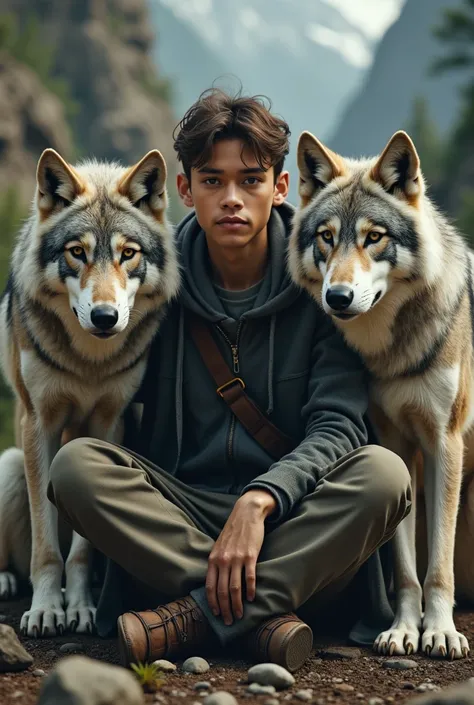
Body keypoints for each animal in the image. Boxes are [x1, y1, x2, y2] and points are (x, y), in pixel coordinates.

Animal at [0, 147, 180, 640]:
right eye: (77, 252)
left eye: (128, 254)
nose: (104, 317)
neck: (89, 363)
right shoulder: (38, 422)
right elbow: (46, 546)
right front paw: (46, 609)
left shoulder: (106, 423)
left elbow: (80, 549)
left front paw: (79, 607)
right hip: (8, 465)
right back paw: (6, 581)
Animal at [286, 128, 474, 660]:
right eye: (327, 237)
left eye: (374, 237)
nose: (338, 298)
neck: (391, 353)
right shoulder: (396, 444)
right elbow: (407, 568)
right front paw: (405, 630)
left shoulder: (444, 443)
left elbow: (437, 567)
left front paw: (441, 632)